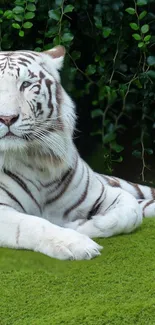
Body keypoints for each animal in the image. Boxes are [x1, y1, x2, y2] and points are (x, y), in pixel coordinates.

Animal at [0, 45, 154, 260]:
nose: (6, 118)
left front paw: (80, 225)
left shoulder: (104, 193)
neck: (38, 160)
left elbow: (131, 213)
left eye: (26, 84)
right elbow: (33, 223)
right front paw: (76, 243)